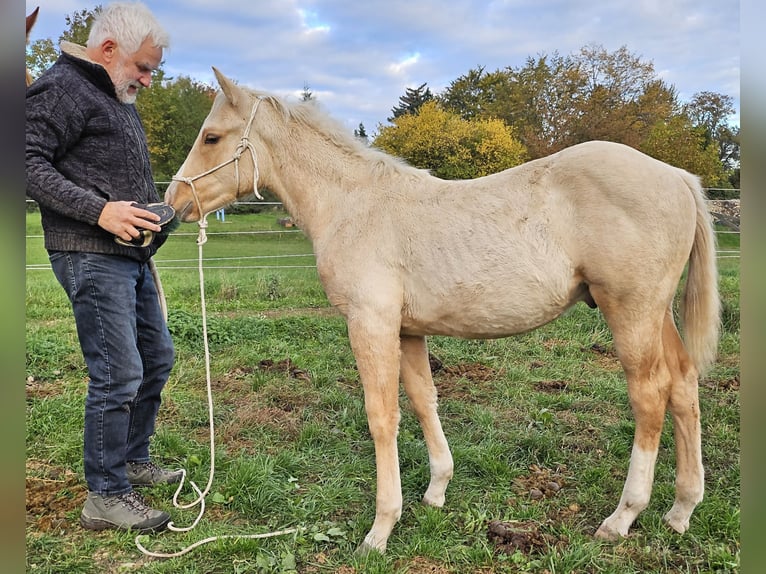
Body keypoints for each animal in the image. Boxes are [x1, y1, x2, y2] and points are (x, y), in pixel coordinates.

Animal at [165, 68, 724, 560]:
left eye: (212, 137)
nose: (173, 203)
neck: (354, 206)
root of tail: (678, 177)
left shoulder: (370, 324)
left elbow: (382, 417)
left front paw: (380, 529)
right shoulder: (408, 331)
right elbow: (422, 399)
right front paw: (436, 491)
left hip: (631, 312)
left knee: (650, 397)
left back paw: (623, 517)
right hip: (657, 314)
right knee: (683, 385)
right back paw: (681, 509)